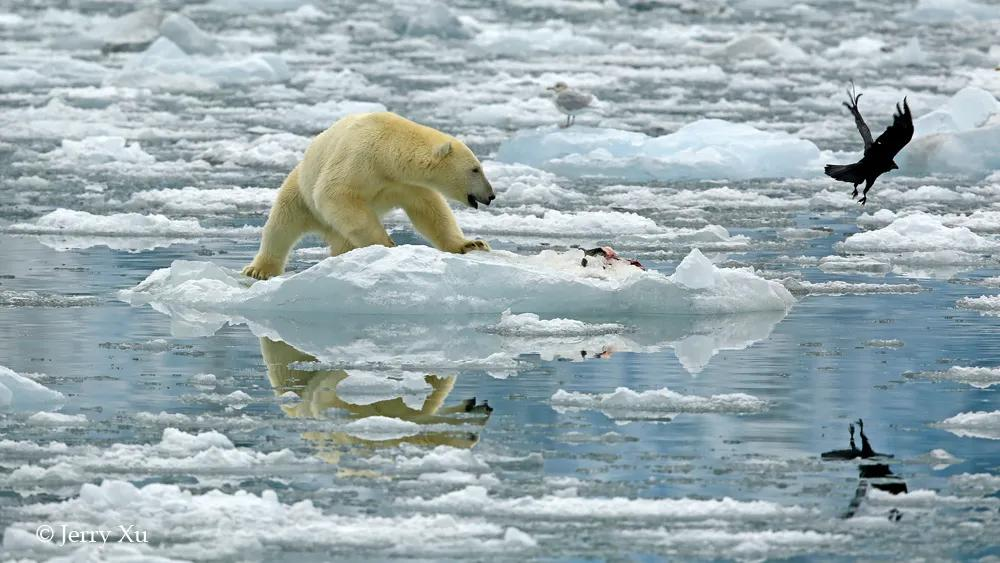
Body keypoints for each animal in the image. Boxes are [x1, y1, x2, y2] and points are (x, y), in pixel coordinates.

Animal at [242, 113, 492, 280]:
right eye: (475, 169)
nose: (491, 195)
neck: (388, 149)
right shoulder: (358, 159)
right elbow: (333, 193)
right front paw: (387, 243)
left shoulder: (406, 183)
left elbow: (430, 210)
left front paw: (472, 243)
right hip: (300, 191)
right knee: (281, 224)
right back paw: (259, 270)